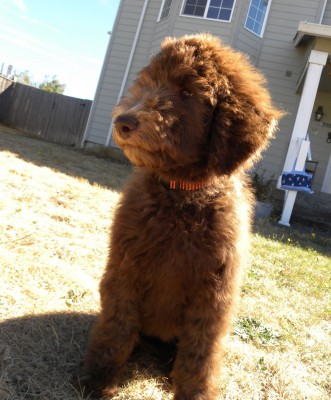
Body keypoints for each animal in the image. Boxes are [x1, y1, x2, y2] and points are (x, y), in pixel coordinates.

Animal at [80, 34, 282, 400]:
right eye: (148, 82)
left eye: (188, 92)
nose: (123, 122)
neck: (181, 196)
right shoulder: (124, 269)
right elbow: (116, 328)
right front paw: (98, 380)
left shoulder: (213, 295)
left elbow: (200, 355)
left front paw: (196, 393)